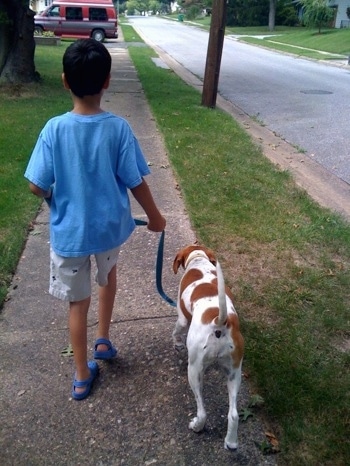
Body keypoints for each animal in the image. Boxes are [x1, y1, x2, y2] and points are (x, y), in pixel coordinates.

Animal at [172, 246, 243, 450]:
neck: (199, 260)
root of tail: (220, 321)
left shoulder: (182, 319)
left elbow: (176, 331)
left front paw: (177, 343)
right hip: (234, 374)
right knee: (233, 414)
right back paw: (231, 442)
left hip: (194, 371)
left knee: (202, 411)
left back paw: (197, 426)